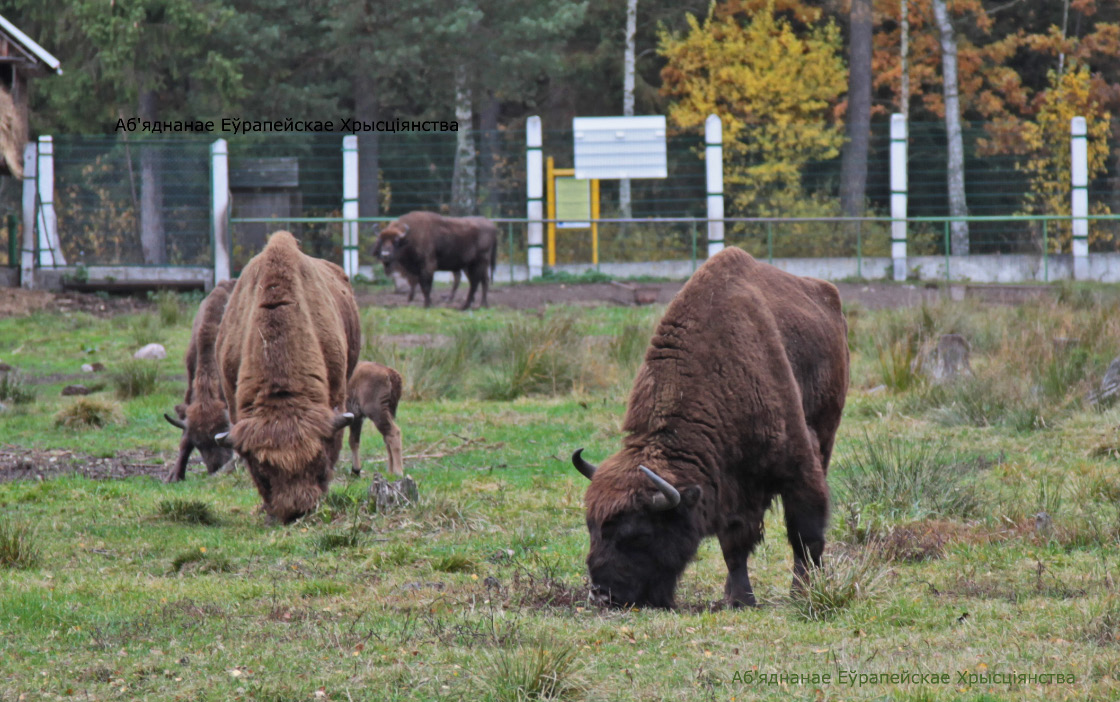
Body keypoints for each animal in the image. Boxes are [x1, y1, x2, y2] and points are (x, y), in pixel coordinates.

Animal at [573, 248, 842, 609]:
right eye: (592, 526)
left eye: (640, 533)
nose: (602, 593)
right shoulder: (730, 488)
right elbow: (735, 546)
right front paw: (738, 598)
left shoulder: (798, 468)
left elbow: (805, 536)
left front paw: (801, 593)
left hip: (826, 436)